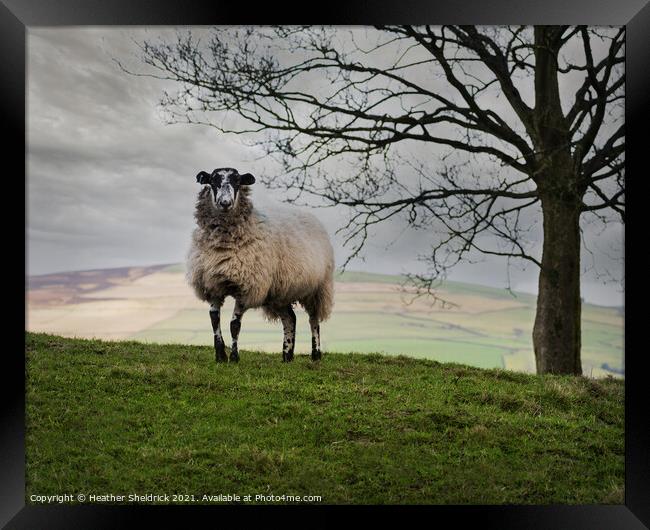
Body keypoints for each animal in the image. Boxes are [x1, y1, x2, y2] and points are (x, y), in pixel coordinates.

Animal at [184, 167, 332, 360]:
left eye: (238, 181)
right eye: (213, 181)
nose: (225, 203)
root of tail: (309, 215)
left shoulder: (246, 288)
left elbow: (234, 325)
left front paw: (234, 357)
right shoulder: (213, 284)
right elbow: (214, 319)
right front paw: (220, 356)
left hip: (317, 289)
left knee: (314, 320)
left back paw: (315, 354)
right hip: (280, 292)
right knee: (290, 319)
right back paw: (287, 356)